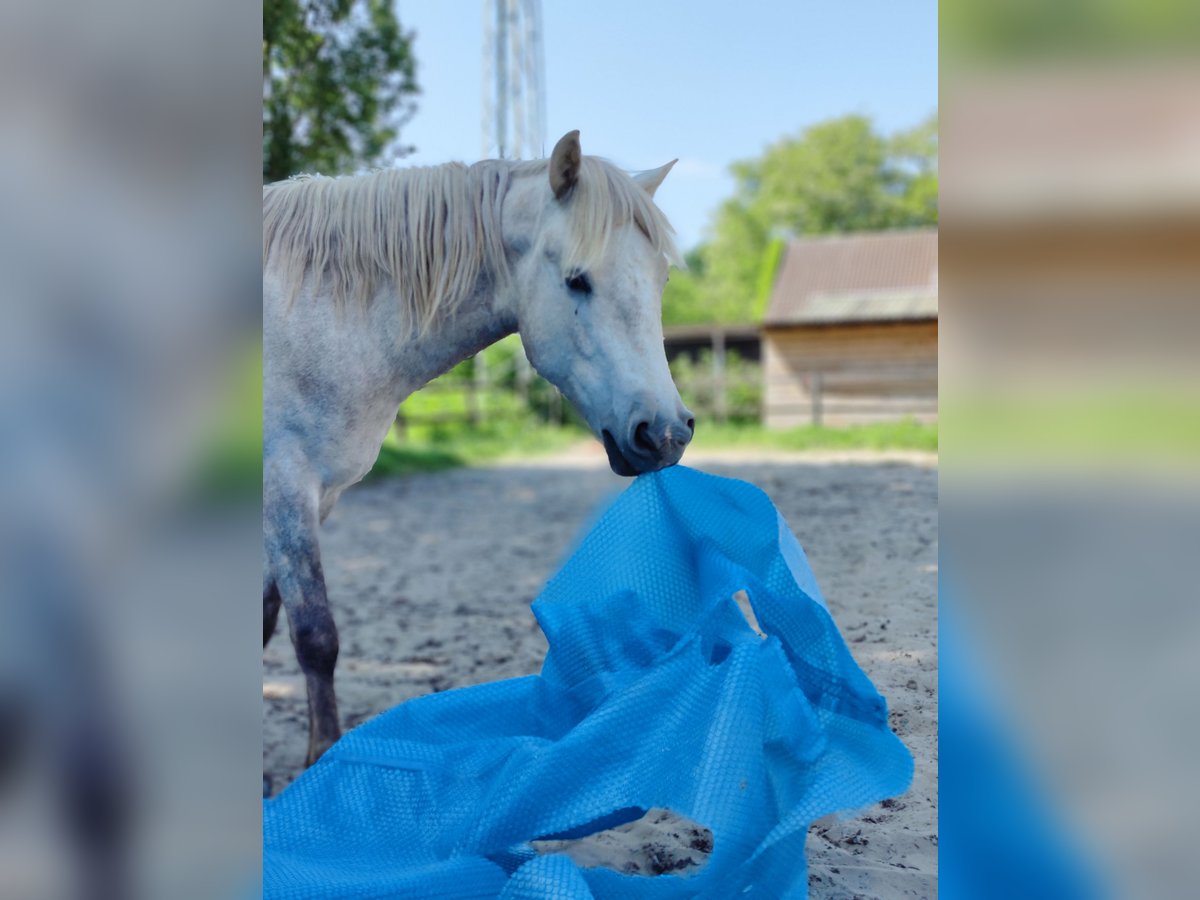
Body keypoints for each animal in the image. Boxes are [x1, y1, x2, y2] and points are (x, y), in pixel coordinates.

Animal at [262, 133, 696, 768]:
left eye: (661, 280)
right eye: (577, 280)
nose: (663, 433)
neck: (314, 315)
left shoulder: (315, 496)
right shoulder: (285, 482)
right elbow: (315, 635)